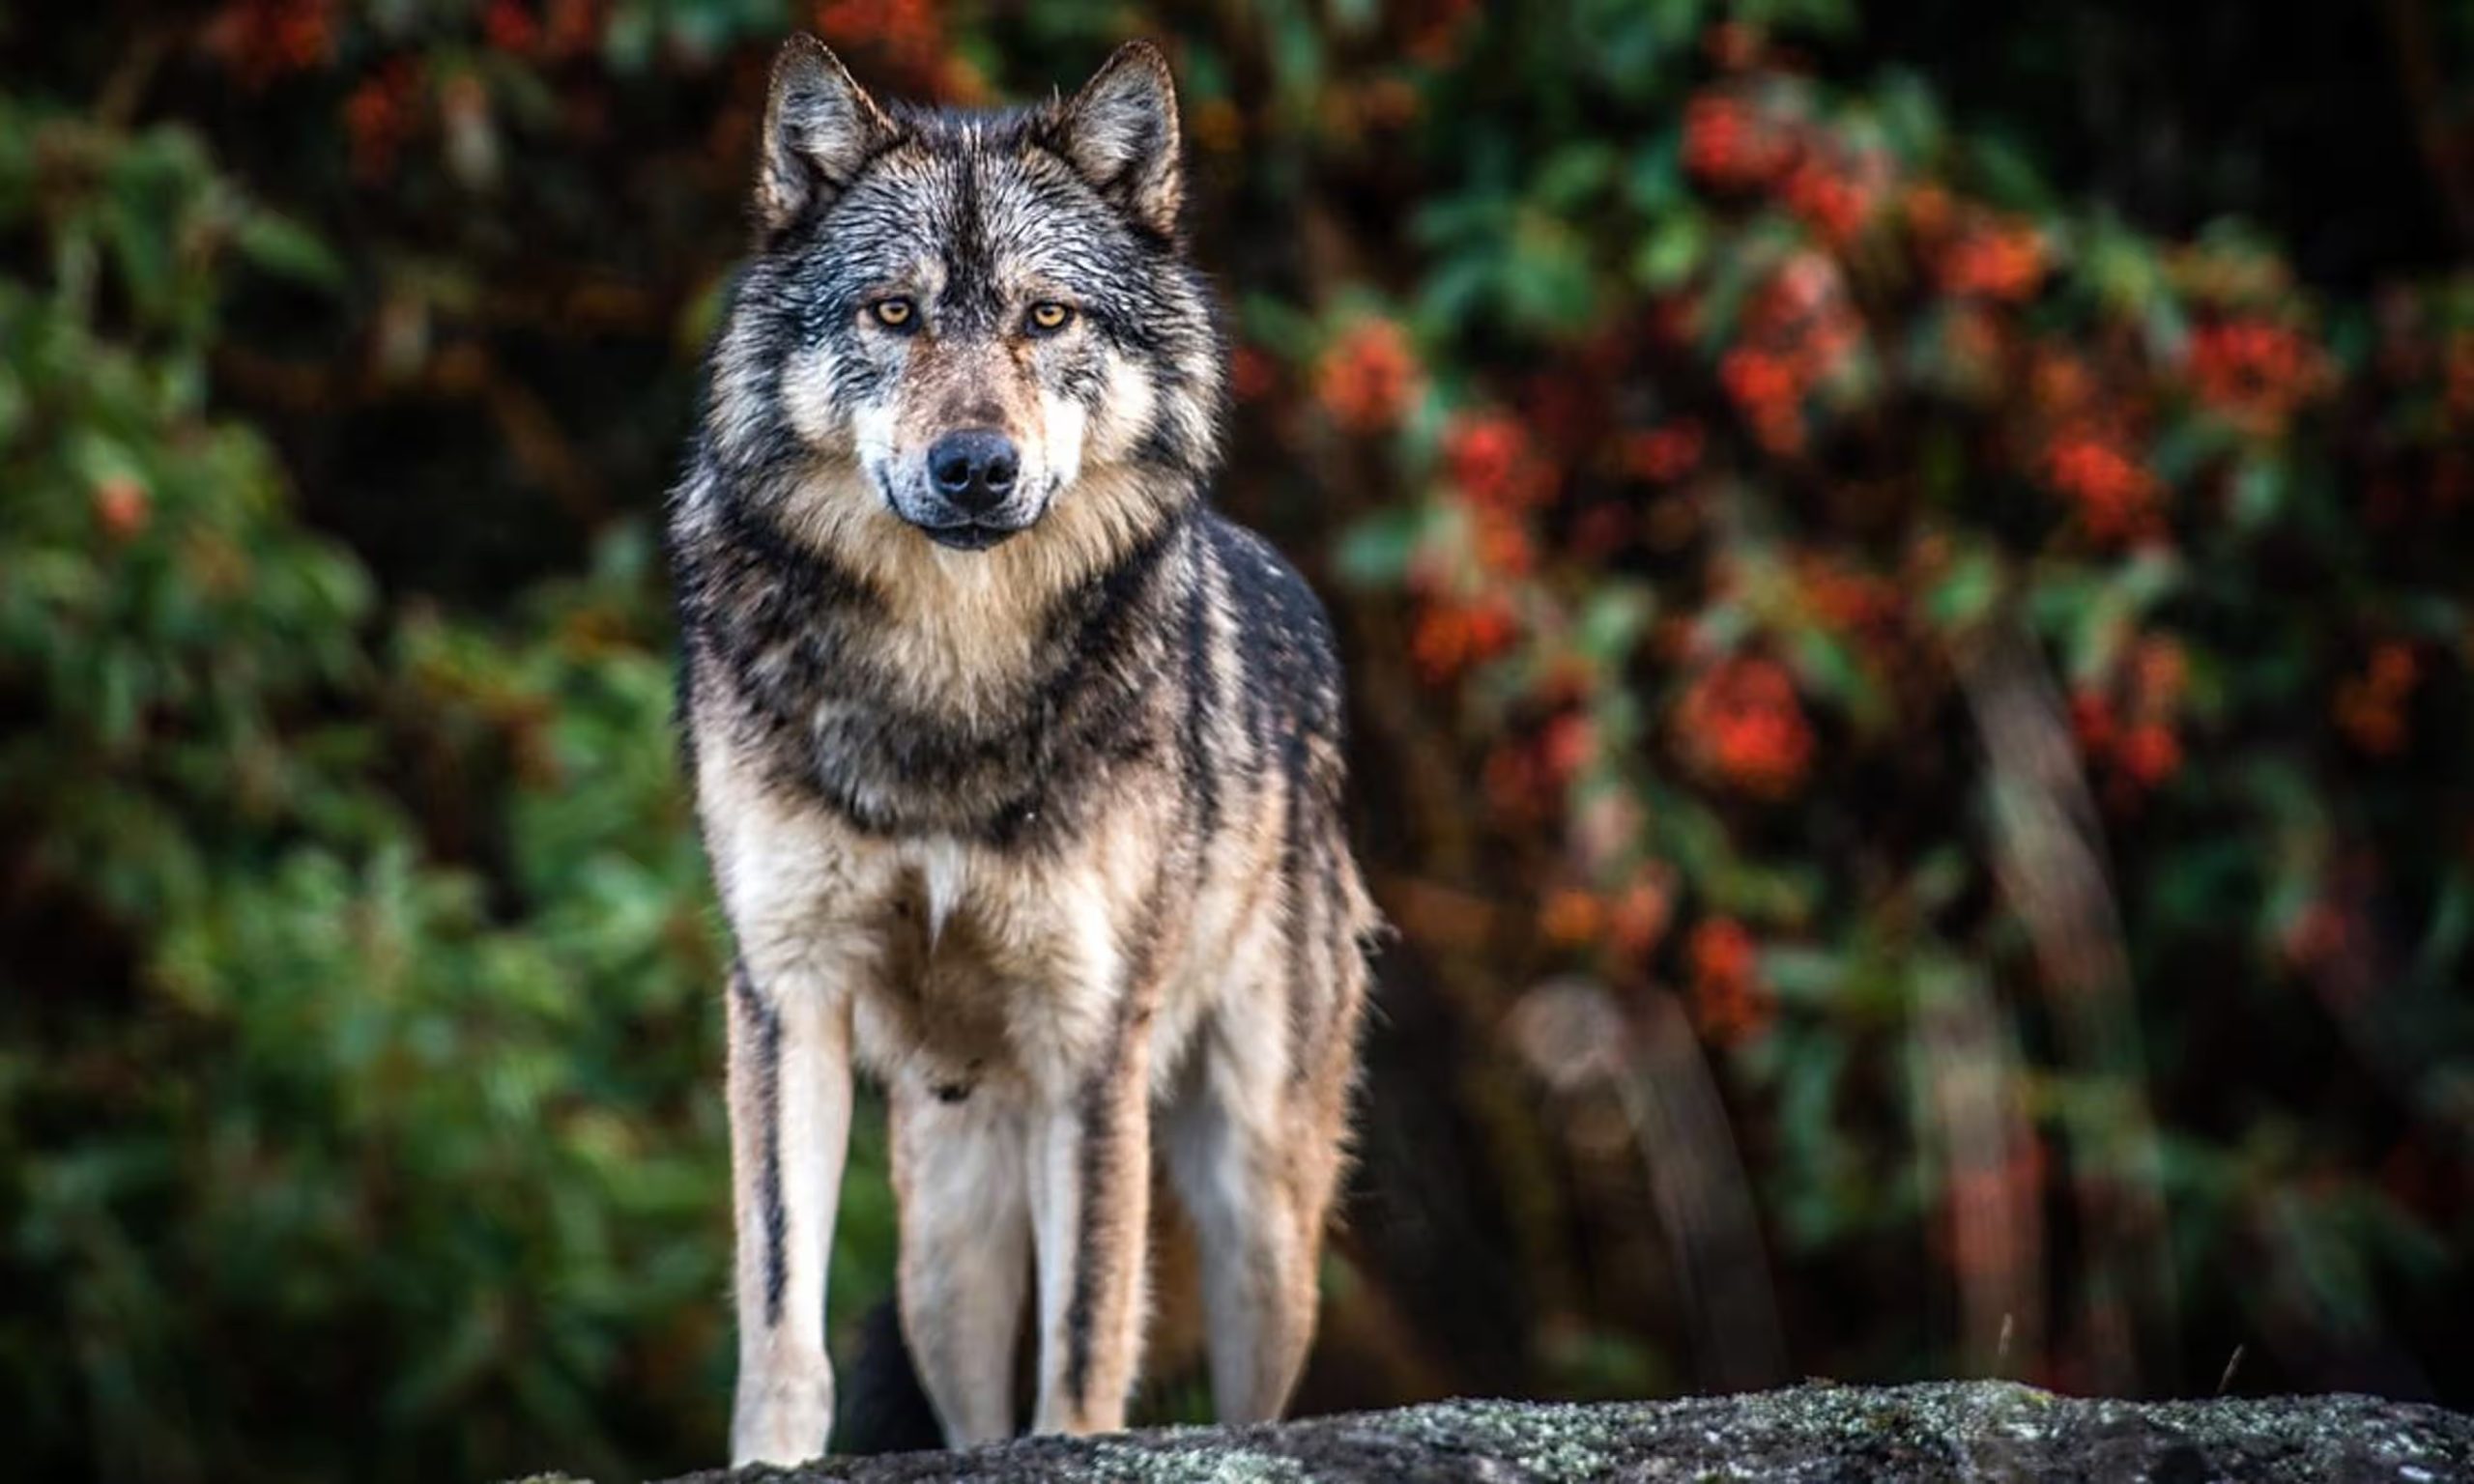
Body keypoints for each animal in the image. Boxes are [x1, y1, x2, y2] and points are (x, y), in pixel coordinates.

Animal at [665, 34, 1379, 1466]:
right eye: (893, 314)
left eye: (1047, 319)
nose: (975, 469)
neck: (952, 675)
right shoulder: (785, 994)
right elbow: (780, 1315)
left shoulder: (1092, 1036)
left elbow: (1089, 1337)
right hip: (946, 1245)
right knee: (961, 1393)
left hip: (1259, 1218)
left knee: (1248, 1388)